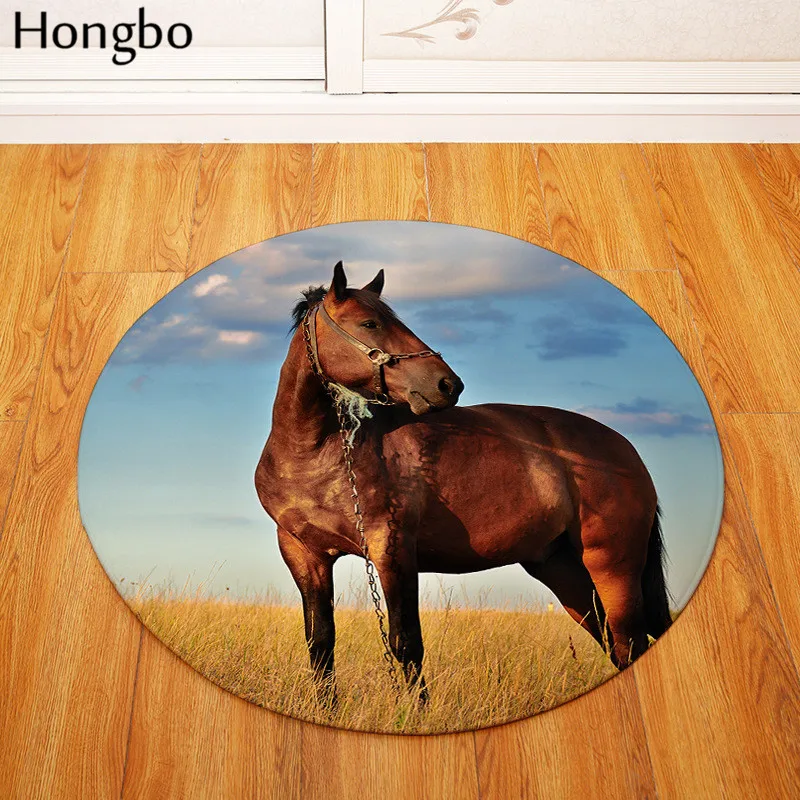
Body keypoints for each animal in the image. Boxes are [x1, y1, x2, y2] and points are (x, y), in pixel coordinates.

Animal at [254, 261, 672, 705]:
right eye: (369, 323)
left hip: (612, 566)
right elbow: (320, 642)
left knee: (628, 641)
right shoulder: (304, 554)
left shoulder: (392, 549)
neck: (315, 453)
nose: (447, 384)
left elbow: (406, 643)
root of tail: (626, 450)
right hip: (562, 569)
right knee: (615, 643)